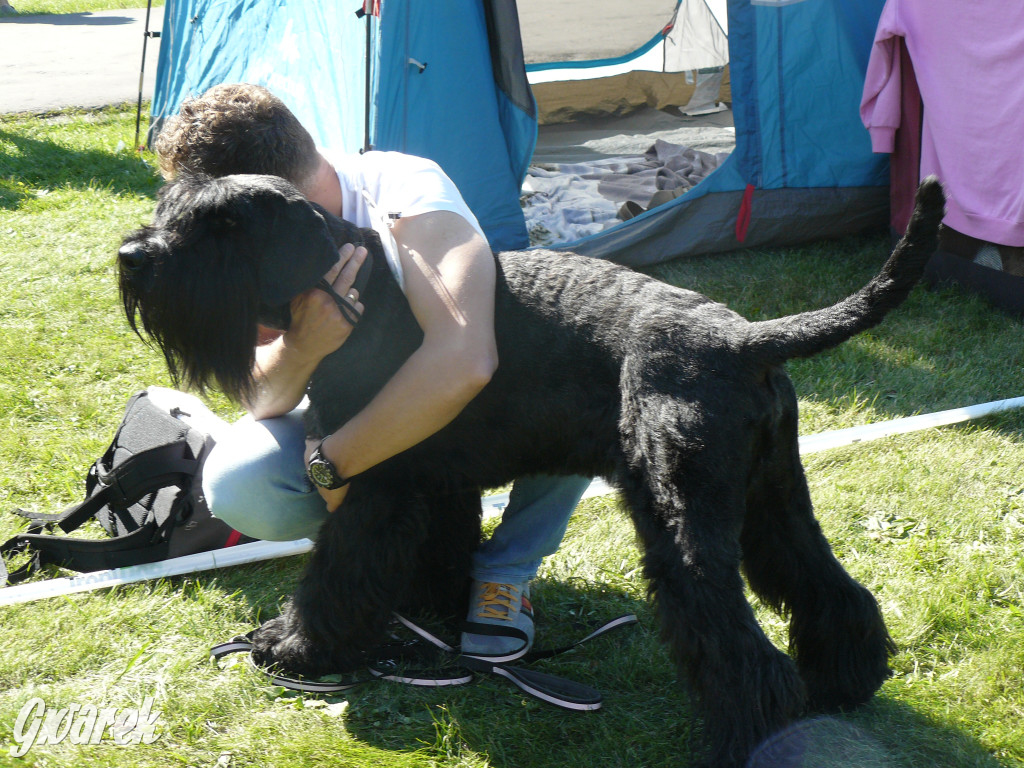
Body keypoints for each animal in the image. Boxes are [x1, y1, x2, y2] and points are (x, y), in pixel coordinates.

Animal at [116, 174, 937, 768]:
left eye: (224, 225)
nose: (133, 256)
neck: (361, 295)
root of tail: (744, 338)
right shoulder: (437, 483)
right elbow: (443, 548)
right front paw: (433, 612)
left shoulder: (377, 486)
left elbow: (335, 572)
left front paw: (295, 645)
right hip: (774, 500)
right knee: (825, 584)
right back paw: (845, 680)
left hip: (683, 517)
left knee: (730, 636)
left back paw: (751, 736)